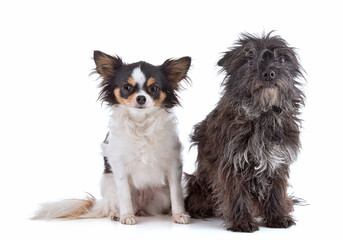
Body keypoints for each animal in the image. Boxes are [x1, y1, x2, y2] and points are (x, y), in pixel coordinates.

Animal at [185, 32, 306, 232]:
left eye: (281, 59)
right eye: (249, 60)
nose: (269, 73)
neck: (263, 115)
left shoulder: (278, 161)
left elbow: (275, 191)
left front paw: (278, 217)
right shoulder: (233, 164)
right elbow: (237, 193)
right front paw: (242, 222)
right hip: (197, 183)